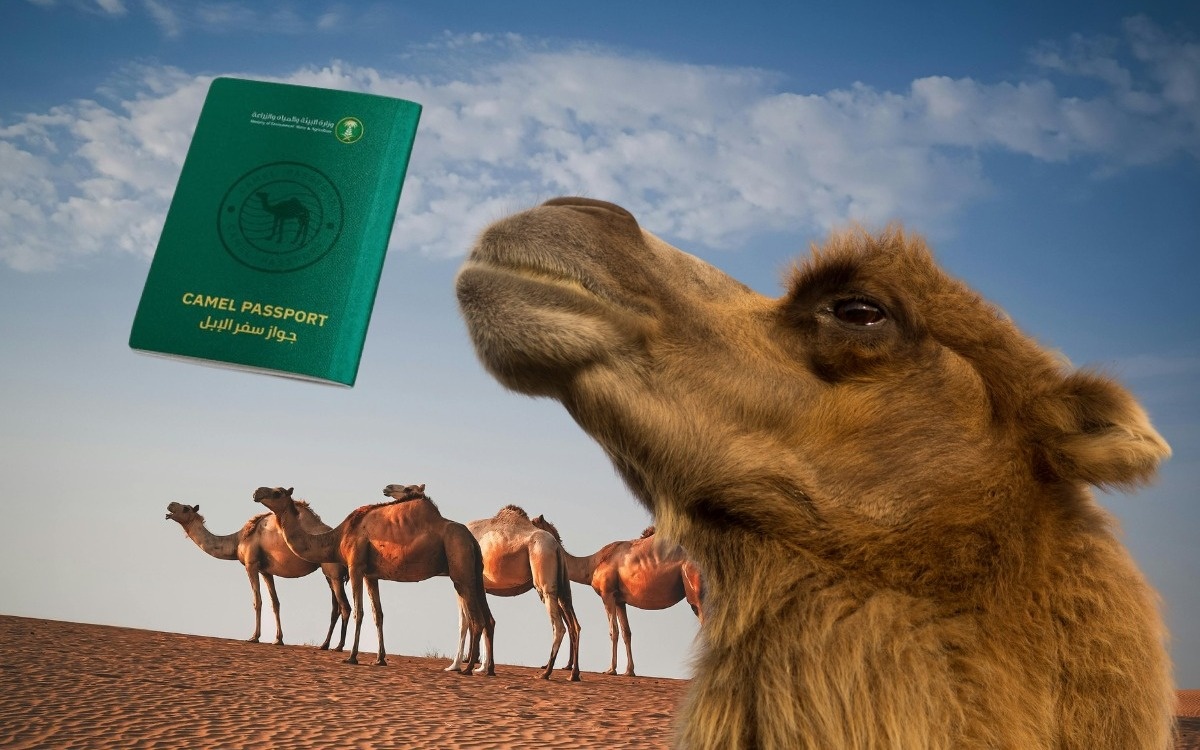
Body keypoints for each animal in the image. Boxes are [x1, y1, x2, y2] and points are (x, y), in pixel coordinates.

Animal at [164, 501, 350, 650]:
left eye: (186, 508)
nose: (170, 505)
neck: (238, 540)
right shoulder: (266, 570)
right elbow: (275, 603)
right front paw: (278, 639)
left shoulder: (251, 564)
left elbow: (257, 601)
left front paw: (254, 637)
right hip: (328, 574)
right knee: (335, 607)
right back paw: (325, 644)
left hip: (333, 572)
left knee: (344, 606)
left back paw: (339, 647)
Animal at [253, 484, 495, 674]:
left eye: (277, 492)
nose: (256, 492)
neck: (338, 537)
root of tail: (471, 539)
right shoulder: (372, 575)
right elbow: (377, 614)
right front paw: (380, 659)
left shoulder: (355, 566)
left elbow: (358, 612)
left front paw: (351, 657)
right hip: (475, 572)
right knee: (488, 618)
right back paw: (488, 670)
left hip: (460, 567)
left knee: (476, 618)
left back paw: (467, 669)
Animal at [445, 505, 581, 680]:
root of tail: (556, 547)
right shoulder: (481, 587)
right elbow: (485, 621)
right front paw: (482, 667)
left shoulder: (463, 584)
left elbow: (464, 623)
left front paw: (455, 666)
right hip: (562, 587)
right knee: (574, 625)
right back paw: (573, 674)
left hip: (543, 578)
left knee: (559, 626)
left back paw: (546, 672)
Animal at [535, 518, 702, 677]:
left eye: (533, 523)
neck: (592, 564)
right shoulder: (620, 600)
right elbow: (626, 632)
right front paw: (629, 671)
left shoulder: (607, 594)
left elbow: (613, 631)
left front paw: (611, 669)